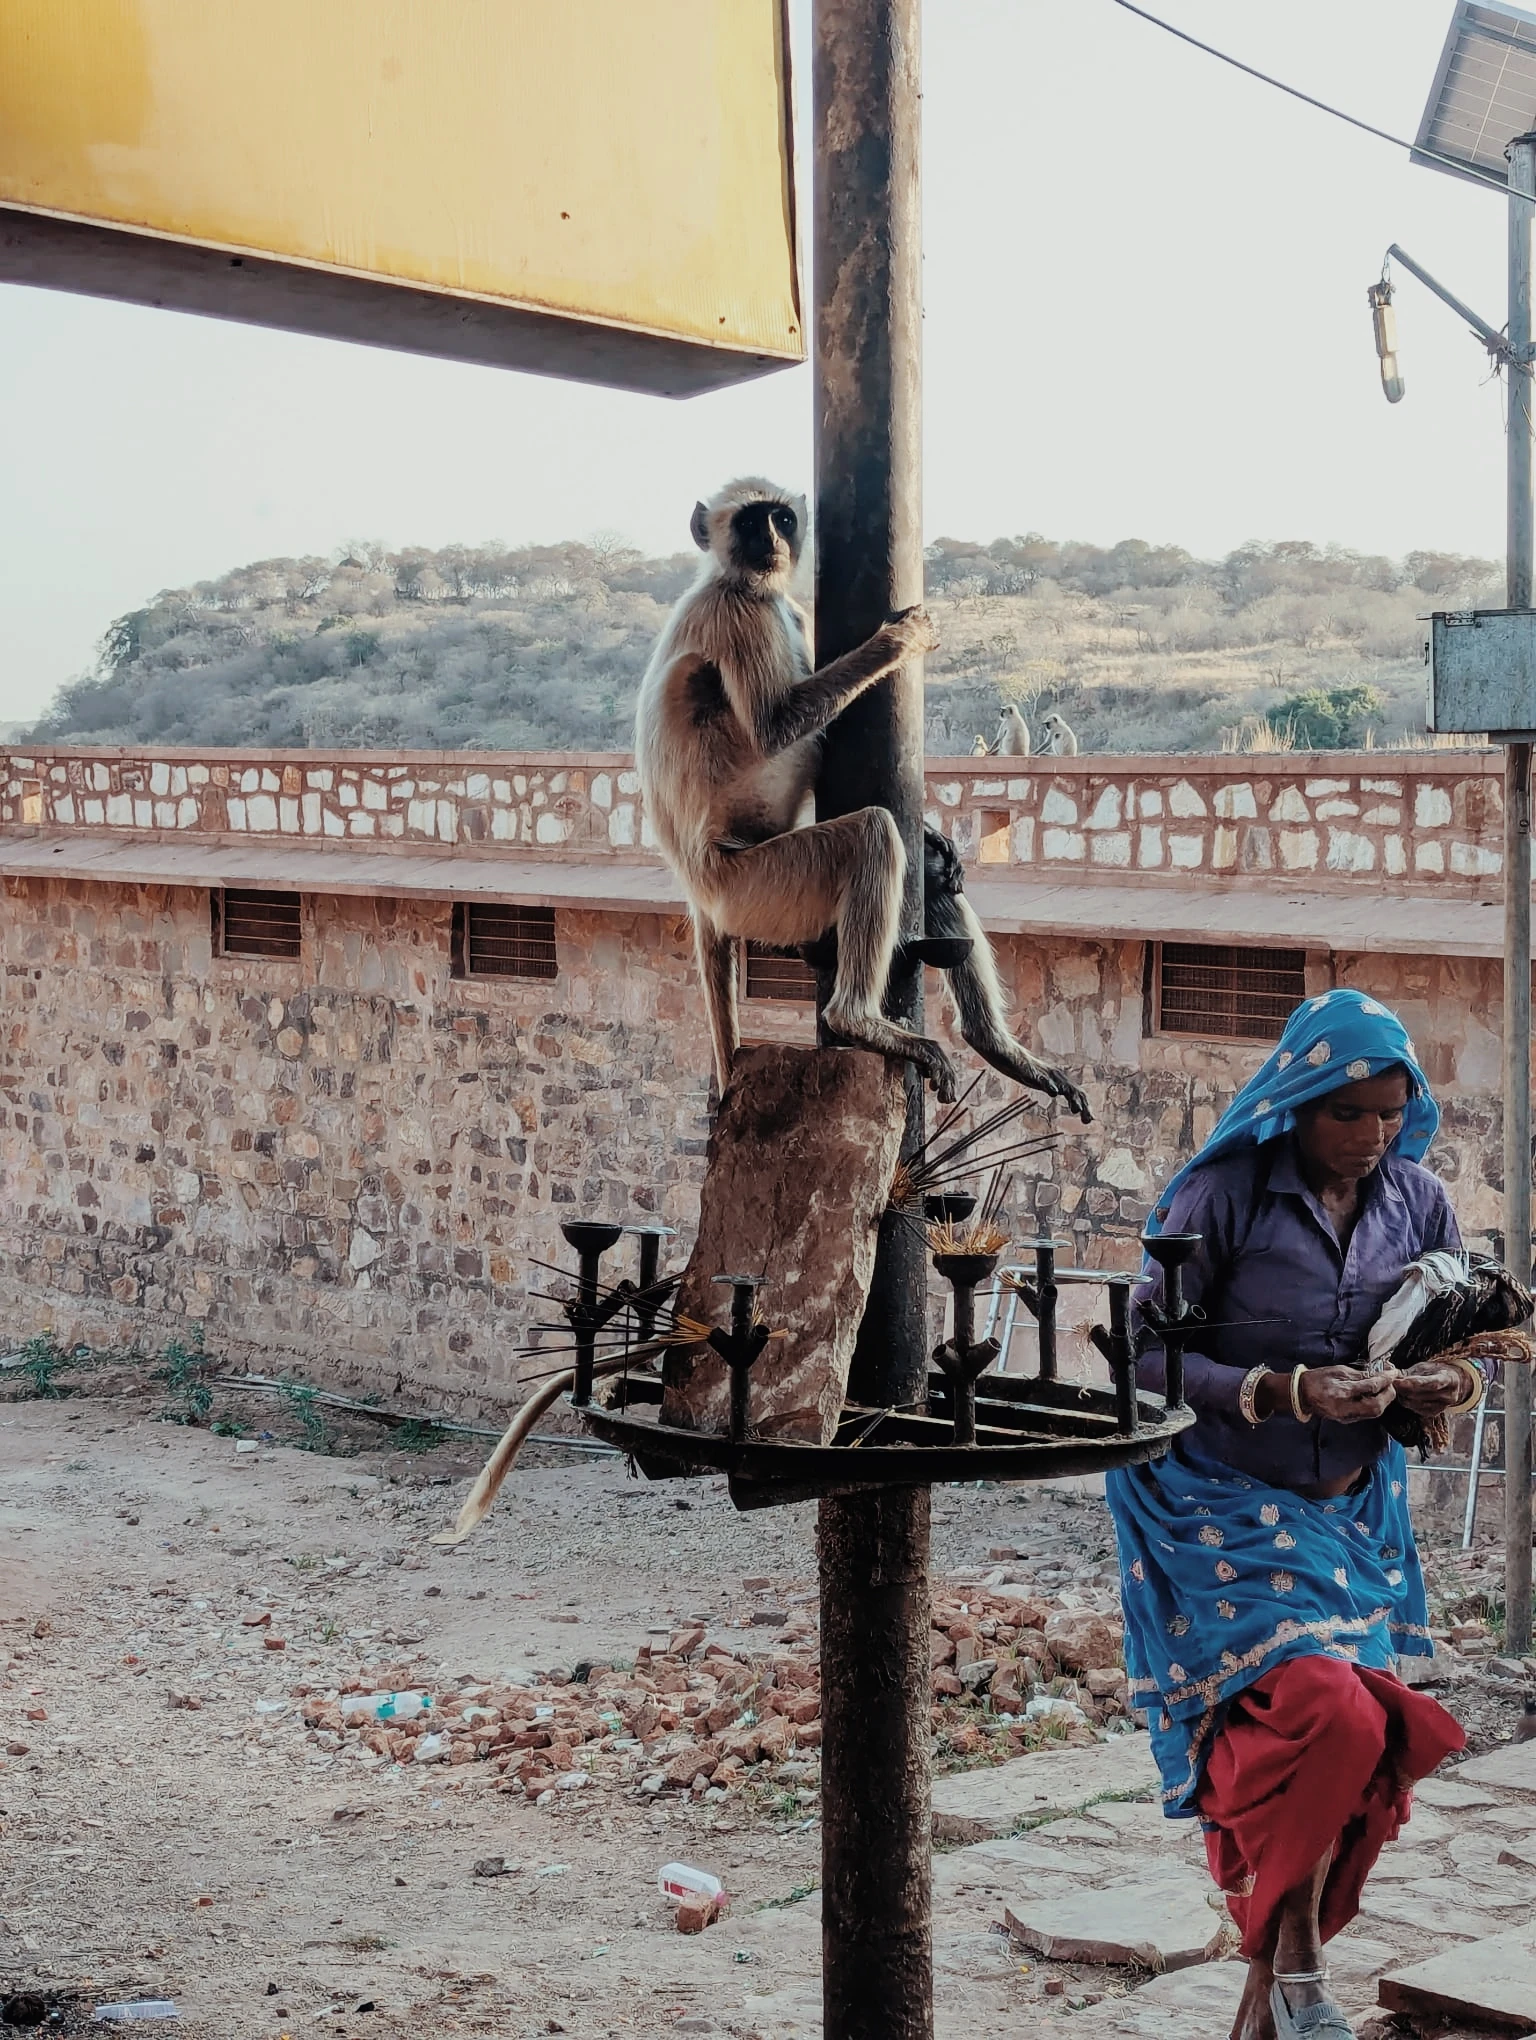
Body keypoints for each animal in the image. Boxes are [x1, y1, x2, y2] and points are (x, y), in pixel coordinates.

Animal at [634, 477, 959, 1102]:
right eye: (749, 522)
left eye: (781, 519)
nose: (772, 542)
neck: (742, 584)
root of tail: (697, 890)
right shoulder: (739, 615)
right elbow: (774, 726)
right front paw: (898, 642)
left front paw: (931, 834)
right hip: (753, 885)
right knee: (871, 833)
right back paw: (856, 1021)